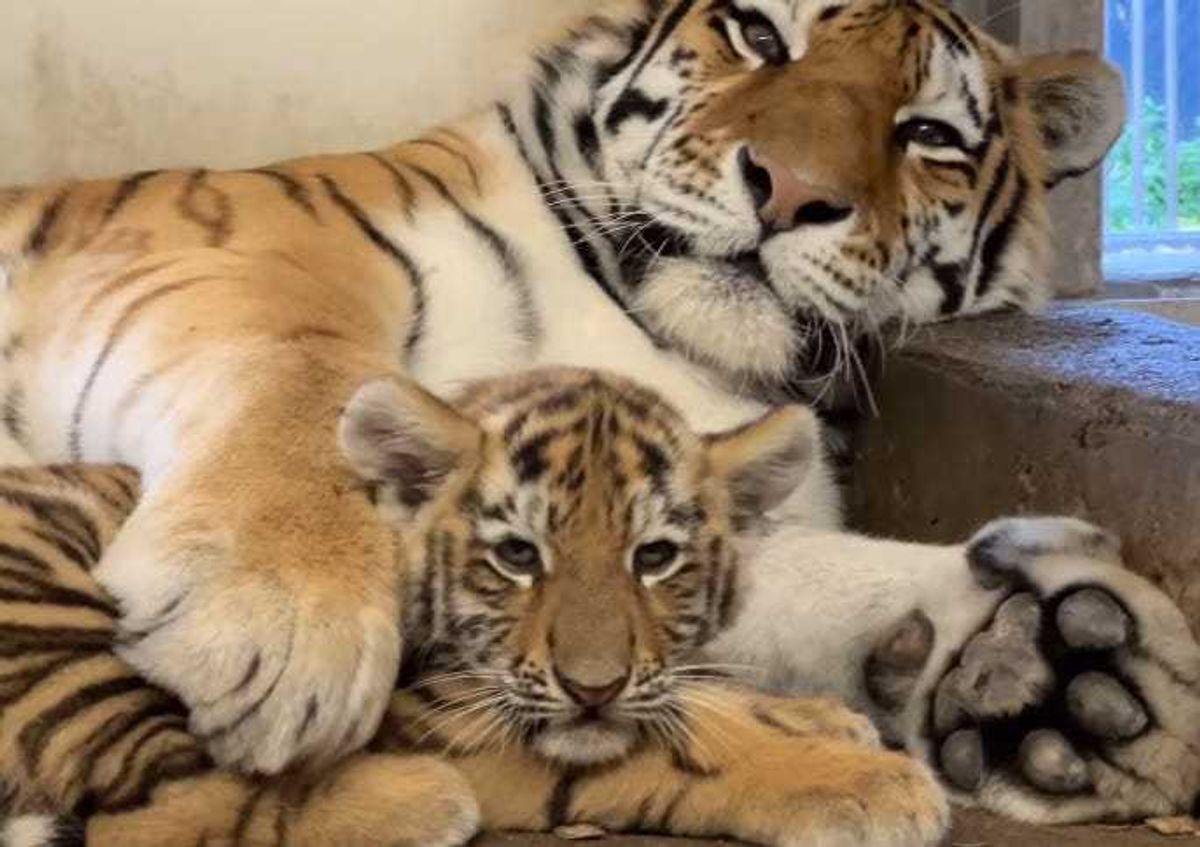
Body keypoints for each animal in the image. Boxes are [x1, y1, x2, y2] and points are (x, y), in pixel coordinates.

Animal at [0, 368, 951, 847]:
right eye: (518, 555)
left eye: (654, 558)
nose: (594, 687)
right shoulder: (449, 713)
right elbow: (670, 751)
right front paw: (869, 782)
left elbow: (701, 696)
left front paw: (819, 717)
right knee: (149, 811)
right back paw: (418, 801)